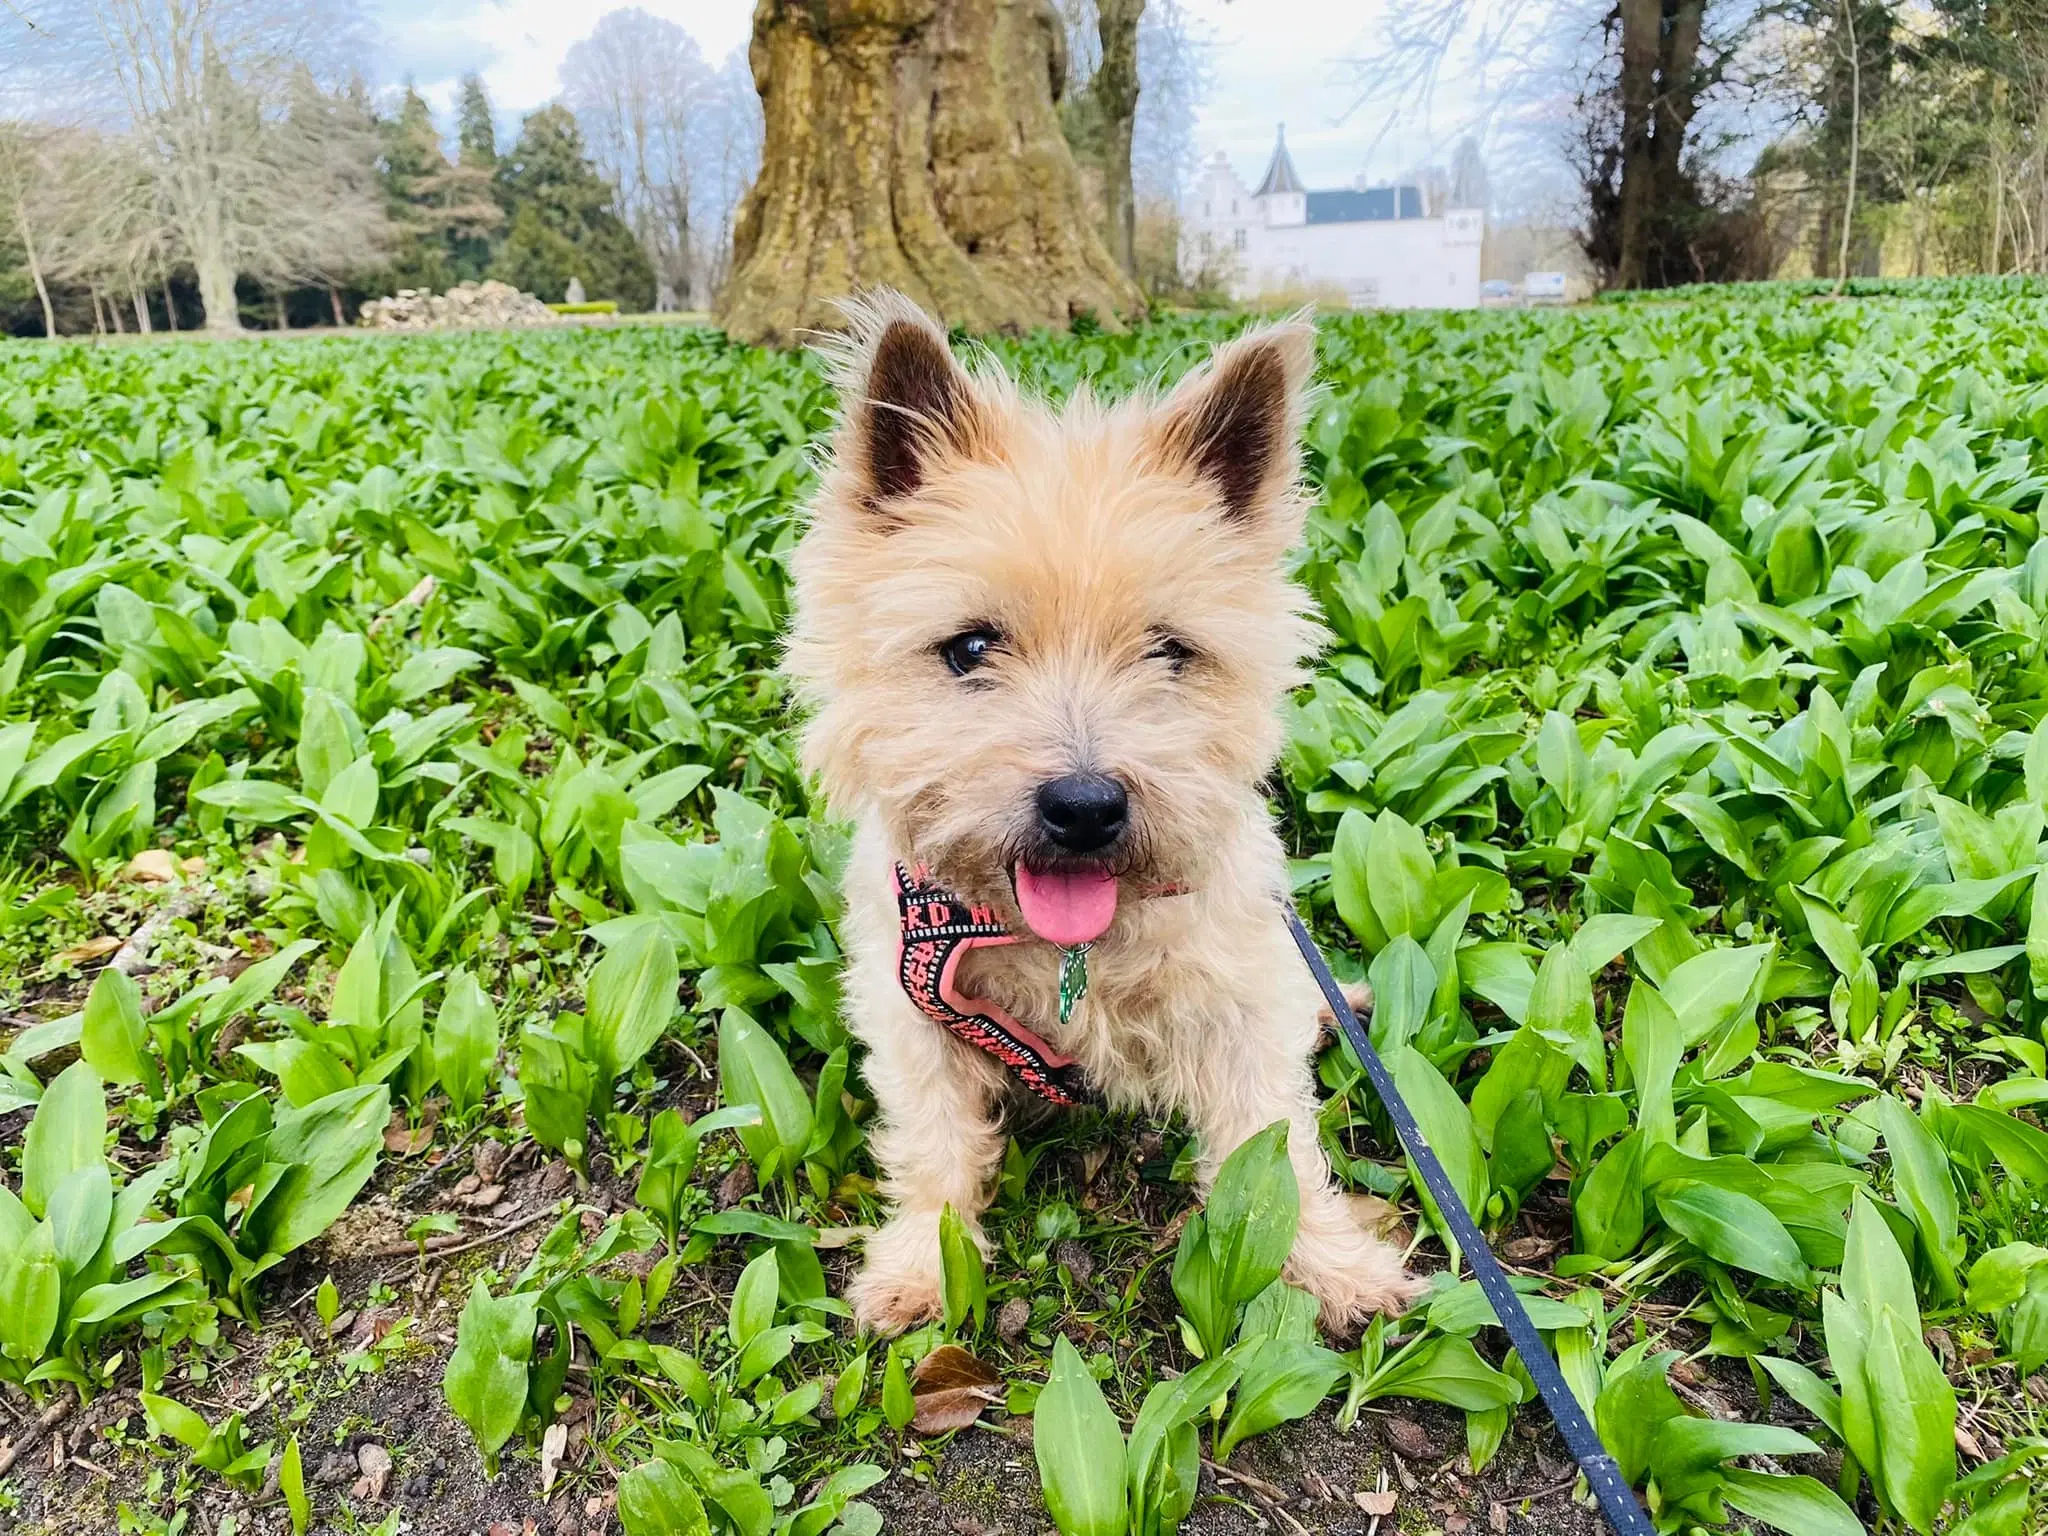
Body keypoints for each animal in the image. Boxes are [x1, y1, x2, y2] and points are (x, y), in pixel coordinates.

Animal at [782, 296, 1425, 1335]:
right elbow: (933, 1142)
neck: (1071, 948)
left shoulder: (1241, 1005)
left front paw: (1327, 1264)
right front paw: (922, 1264)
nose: (1085, 806)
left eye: (1169, 651)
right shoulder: (910, 1008)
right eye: (970, 648)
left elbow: (1272, 1146)